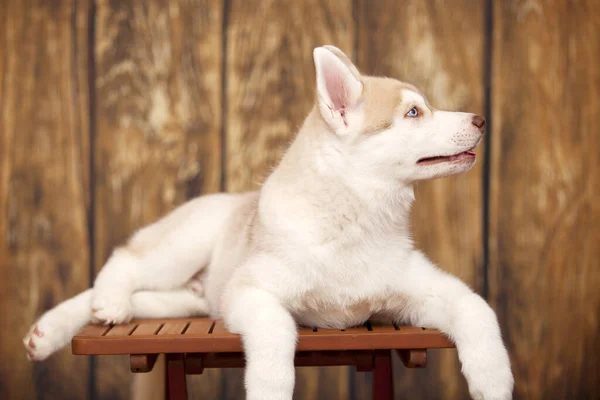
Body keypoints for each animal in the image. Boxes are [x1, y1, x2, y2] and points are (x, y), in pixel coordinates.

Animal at [22, 45, 510, 398]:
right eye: (413, 113)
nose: (481, 119)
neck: (352, 220)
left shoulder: (423, 288)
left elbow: (479, 309)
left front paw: (493, 379)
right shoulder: (250, 292)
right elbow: (278, 332)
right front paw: (270, 388)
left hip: (194, 301)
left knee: (146, 300)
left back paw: (53, 329)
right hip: (182, 247)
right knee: (124, 260)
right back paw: (103, 303)